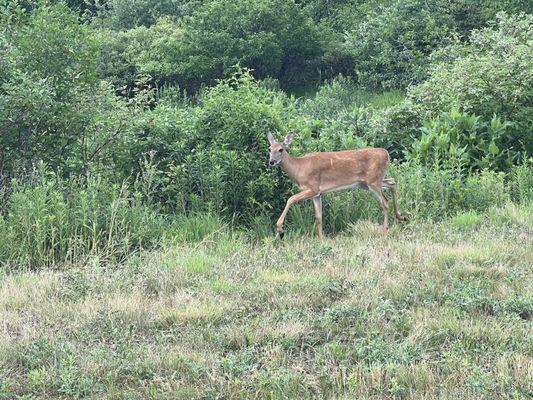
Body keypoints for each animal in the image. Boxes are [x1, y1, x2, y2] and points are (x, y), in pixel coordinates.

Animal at [266, 131, 404, 239]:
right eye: (269, 149)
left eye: (281, 149)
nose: (271, 161)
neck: (299, 168)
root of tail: (386, 153)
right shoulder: (317, 193)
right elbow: (319, 217)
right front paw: (321, 240)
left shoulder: (313, 187)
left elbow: (291, 199)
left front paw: (280, 230)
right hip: (368, 183)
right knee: (392, 182)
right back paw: (401, 216)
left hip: (373, 181)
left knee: (385, 201)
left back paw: (385, 231)